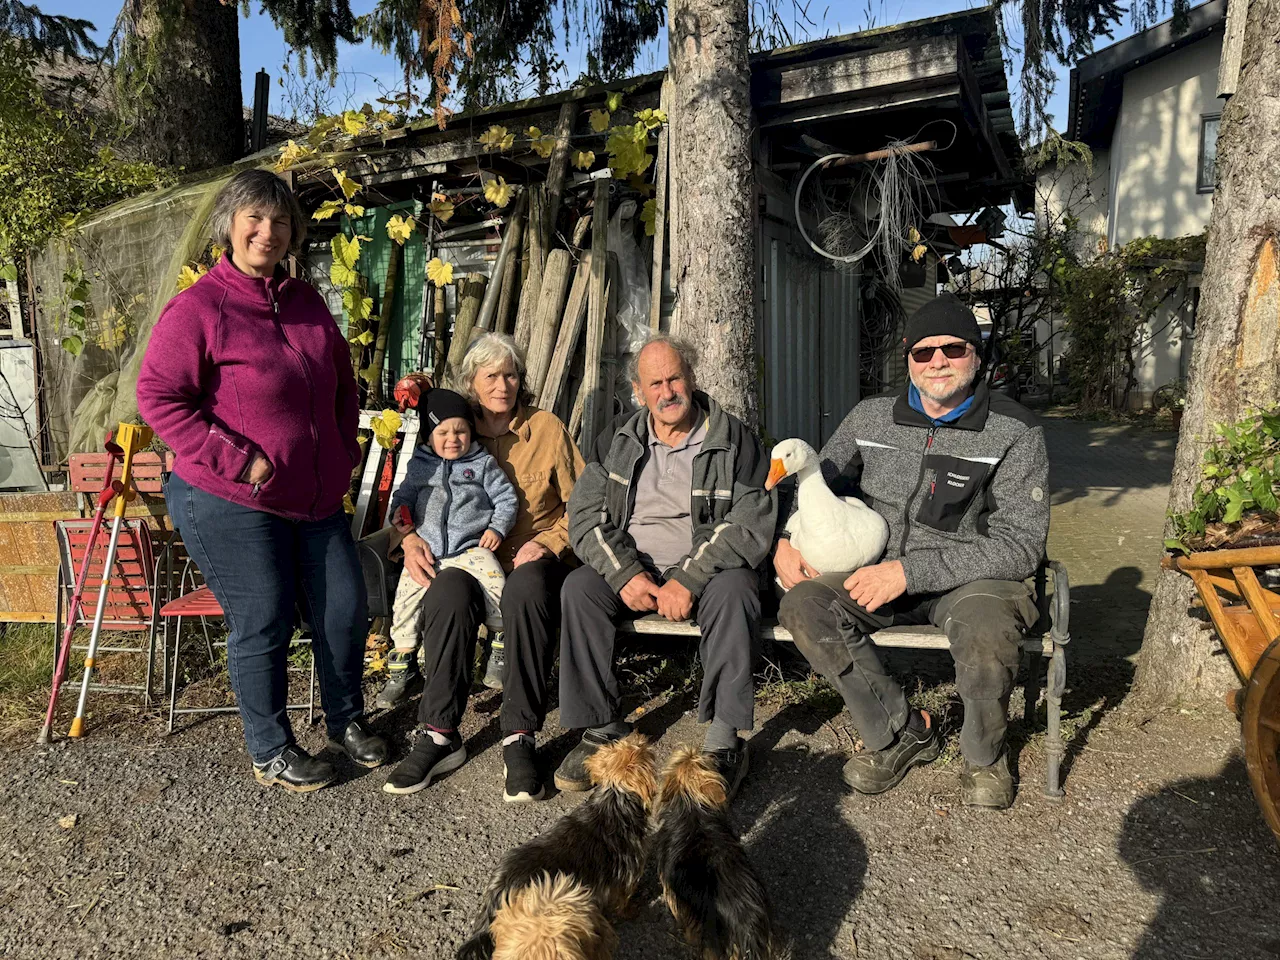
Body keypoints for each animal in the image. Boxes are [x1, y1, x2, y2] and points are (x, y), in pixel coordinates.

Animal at [455, 732, 655, 957]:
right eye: (643, 748)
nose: (638, 733)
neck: (614, 801)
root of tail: (495, 892)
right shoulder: (627, 876)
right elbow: (623, 901)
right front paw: (632, 910)